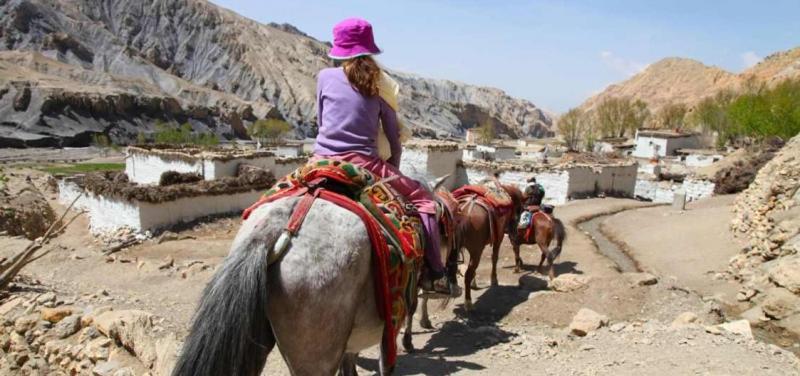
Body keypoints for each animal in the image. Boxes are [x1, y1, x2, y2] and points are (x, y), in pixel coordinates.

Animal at [172, 181, 460, 374]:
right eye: (444, 228)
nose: (447, 280)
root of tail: (282, 226)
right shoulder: (389, 321)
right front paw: (411, 339)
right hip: (316, 354)